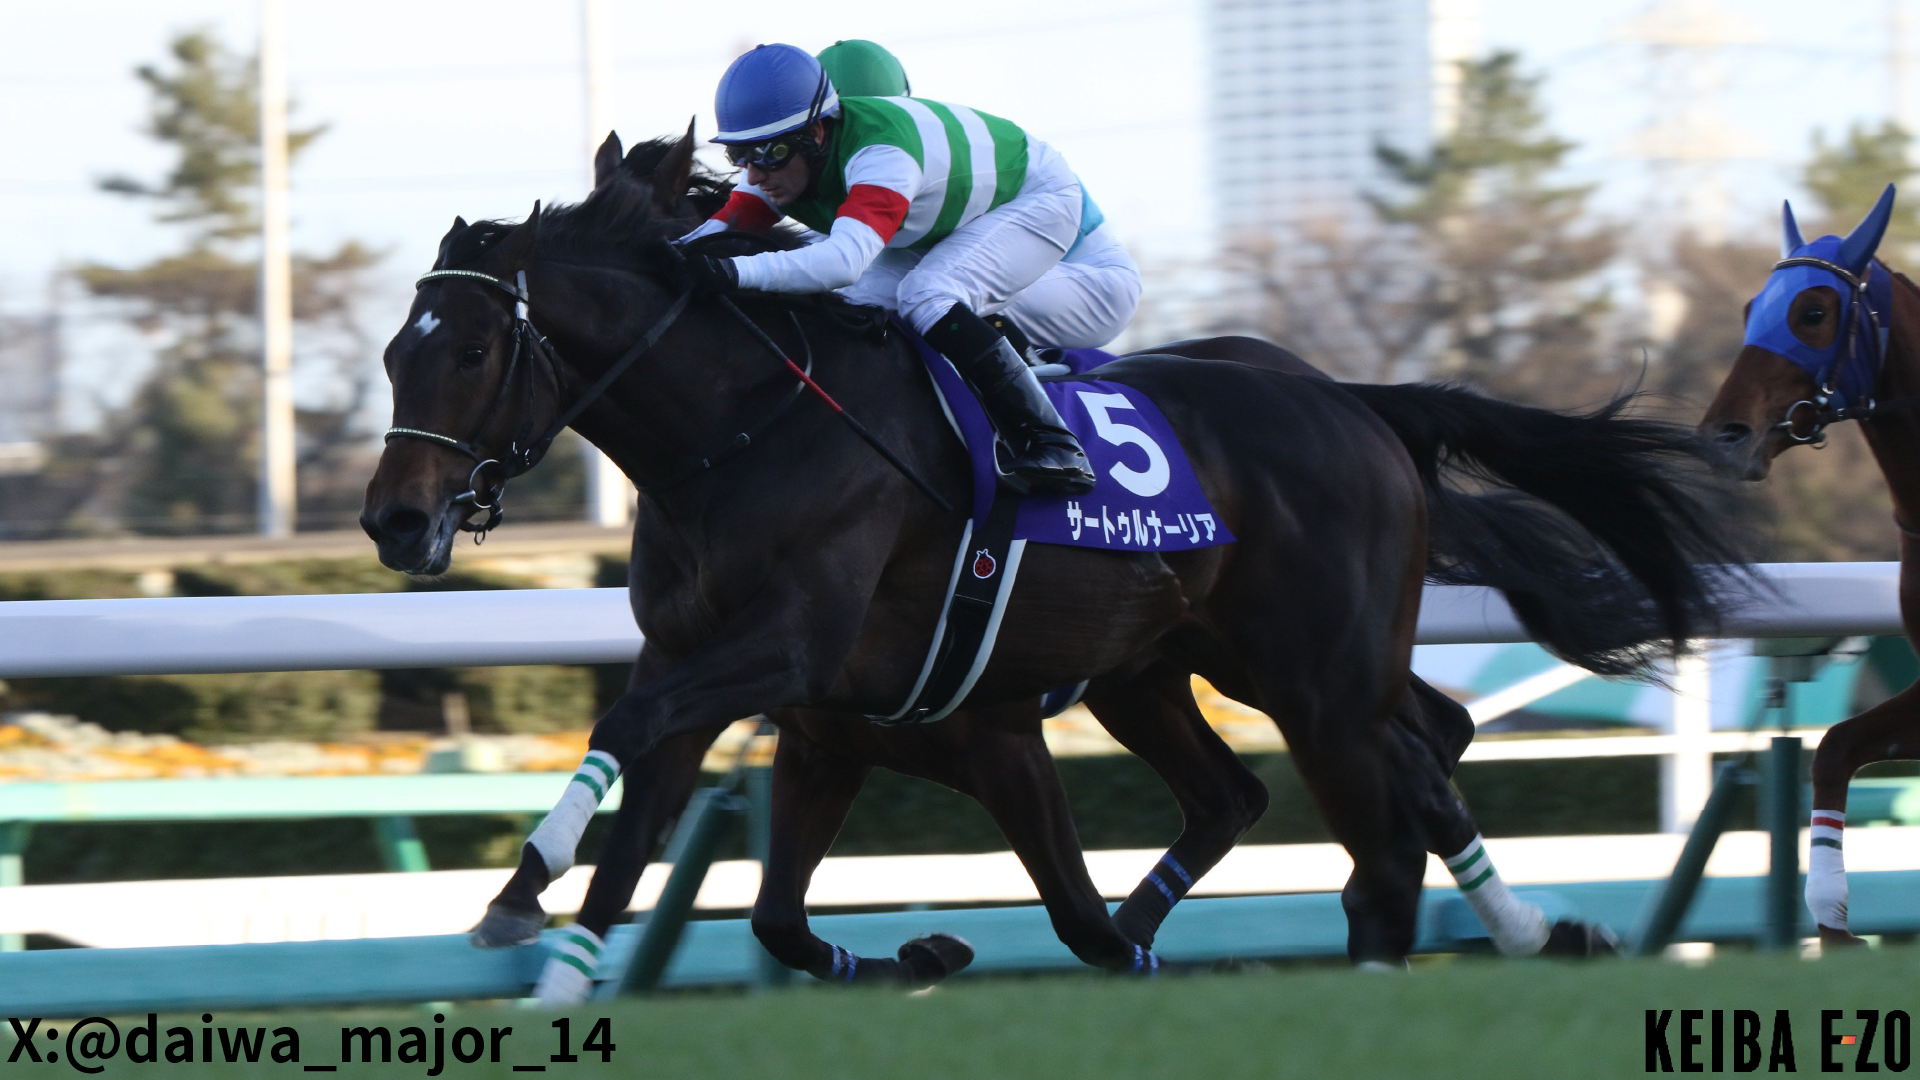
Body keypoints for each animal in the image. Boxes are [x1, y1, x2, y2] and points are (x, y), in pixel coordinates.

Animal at [362, 129, 1747, 985]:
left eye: (471, 351)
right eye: (393, 352)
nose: (392, 521)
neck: (742, 430)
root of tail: (1355, 403)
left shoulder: (870, 682)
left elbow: (638, 738)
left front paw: (521, 891)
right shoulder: (799, 712)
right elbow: (712, 869)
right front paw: (543, 924)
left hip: (1310, 672)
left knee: (1393, 777)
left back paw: (1476, 926)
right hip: (1182, 666)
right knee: (1328, 769)